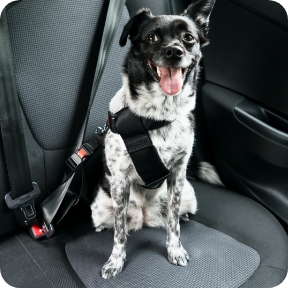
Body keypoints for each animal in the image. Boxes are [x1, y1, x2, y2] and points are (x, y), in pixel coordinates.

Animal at [91, 0, 215, 280]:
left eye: (188, 38)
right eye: (152, 37)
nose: (174, 52)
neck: (157, 116)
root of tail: (145, 217)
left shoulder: (178, 174)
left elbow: (173, 223)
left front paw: (175, 249)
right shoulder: (120, 180)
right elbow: (119, 233)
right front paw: (115, 261)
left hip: (189, 194)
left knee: (175, 215)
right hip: (100, 206)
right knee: (114, 223)